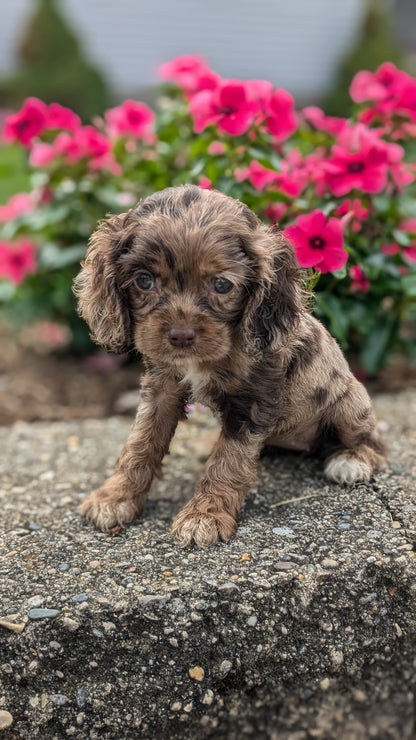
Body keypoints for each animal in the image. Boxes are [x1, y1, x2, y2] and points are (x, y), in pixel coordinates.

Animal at [73, 183, 386, 548]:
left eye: (222, 284)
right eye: (144, 280)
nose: (181, 335)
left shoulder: (253, 403)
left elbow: (229, 460)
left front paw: (204, 515)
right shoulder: (162, 387)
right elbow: (140, 443)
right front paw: (115, 498)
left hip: (350, 404)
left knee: (374, 443)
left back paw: (351, 461)